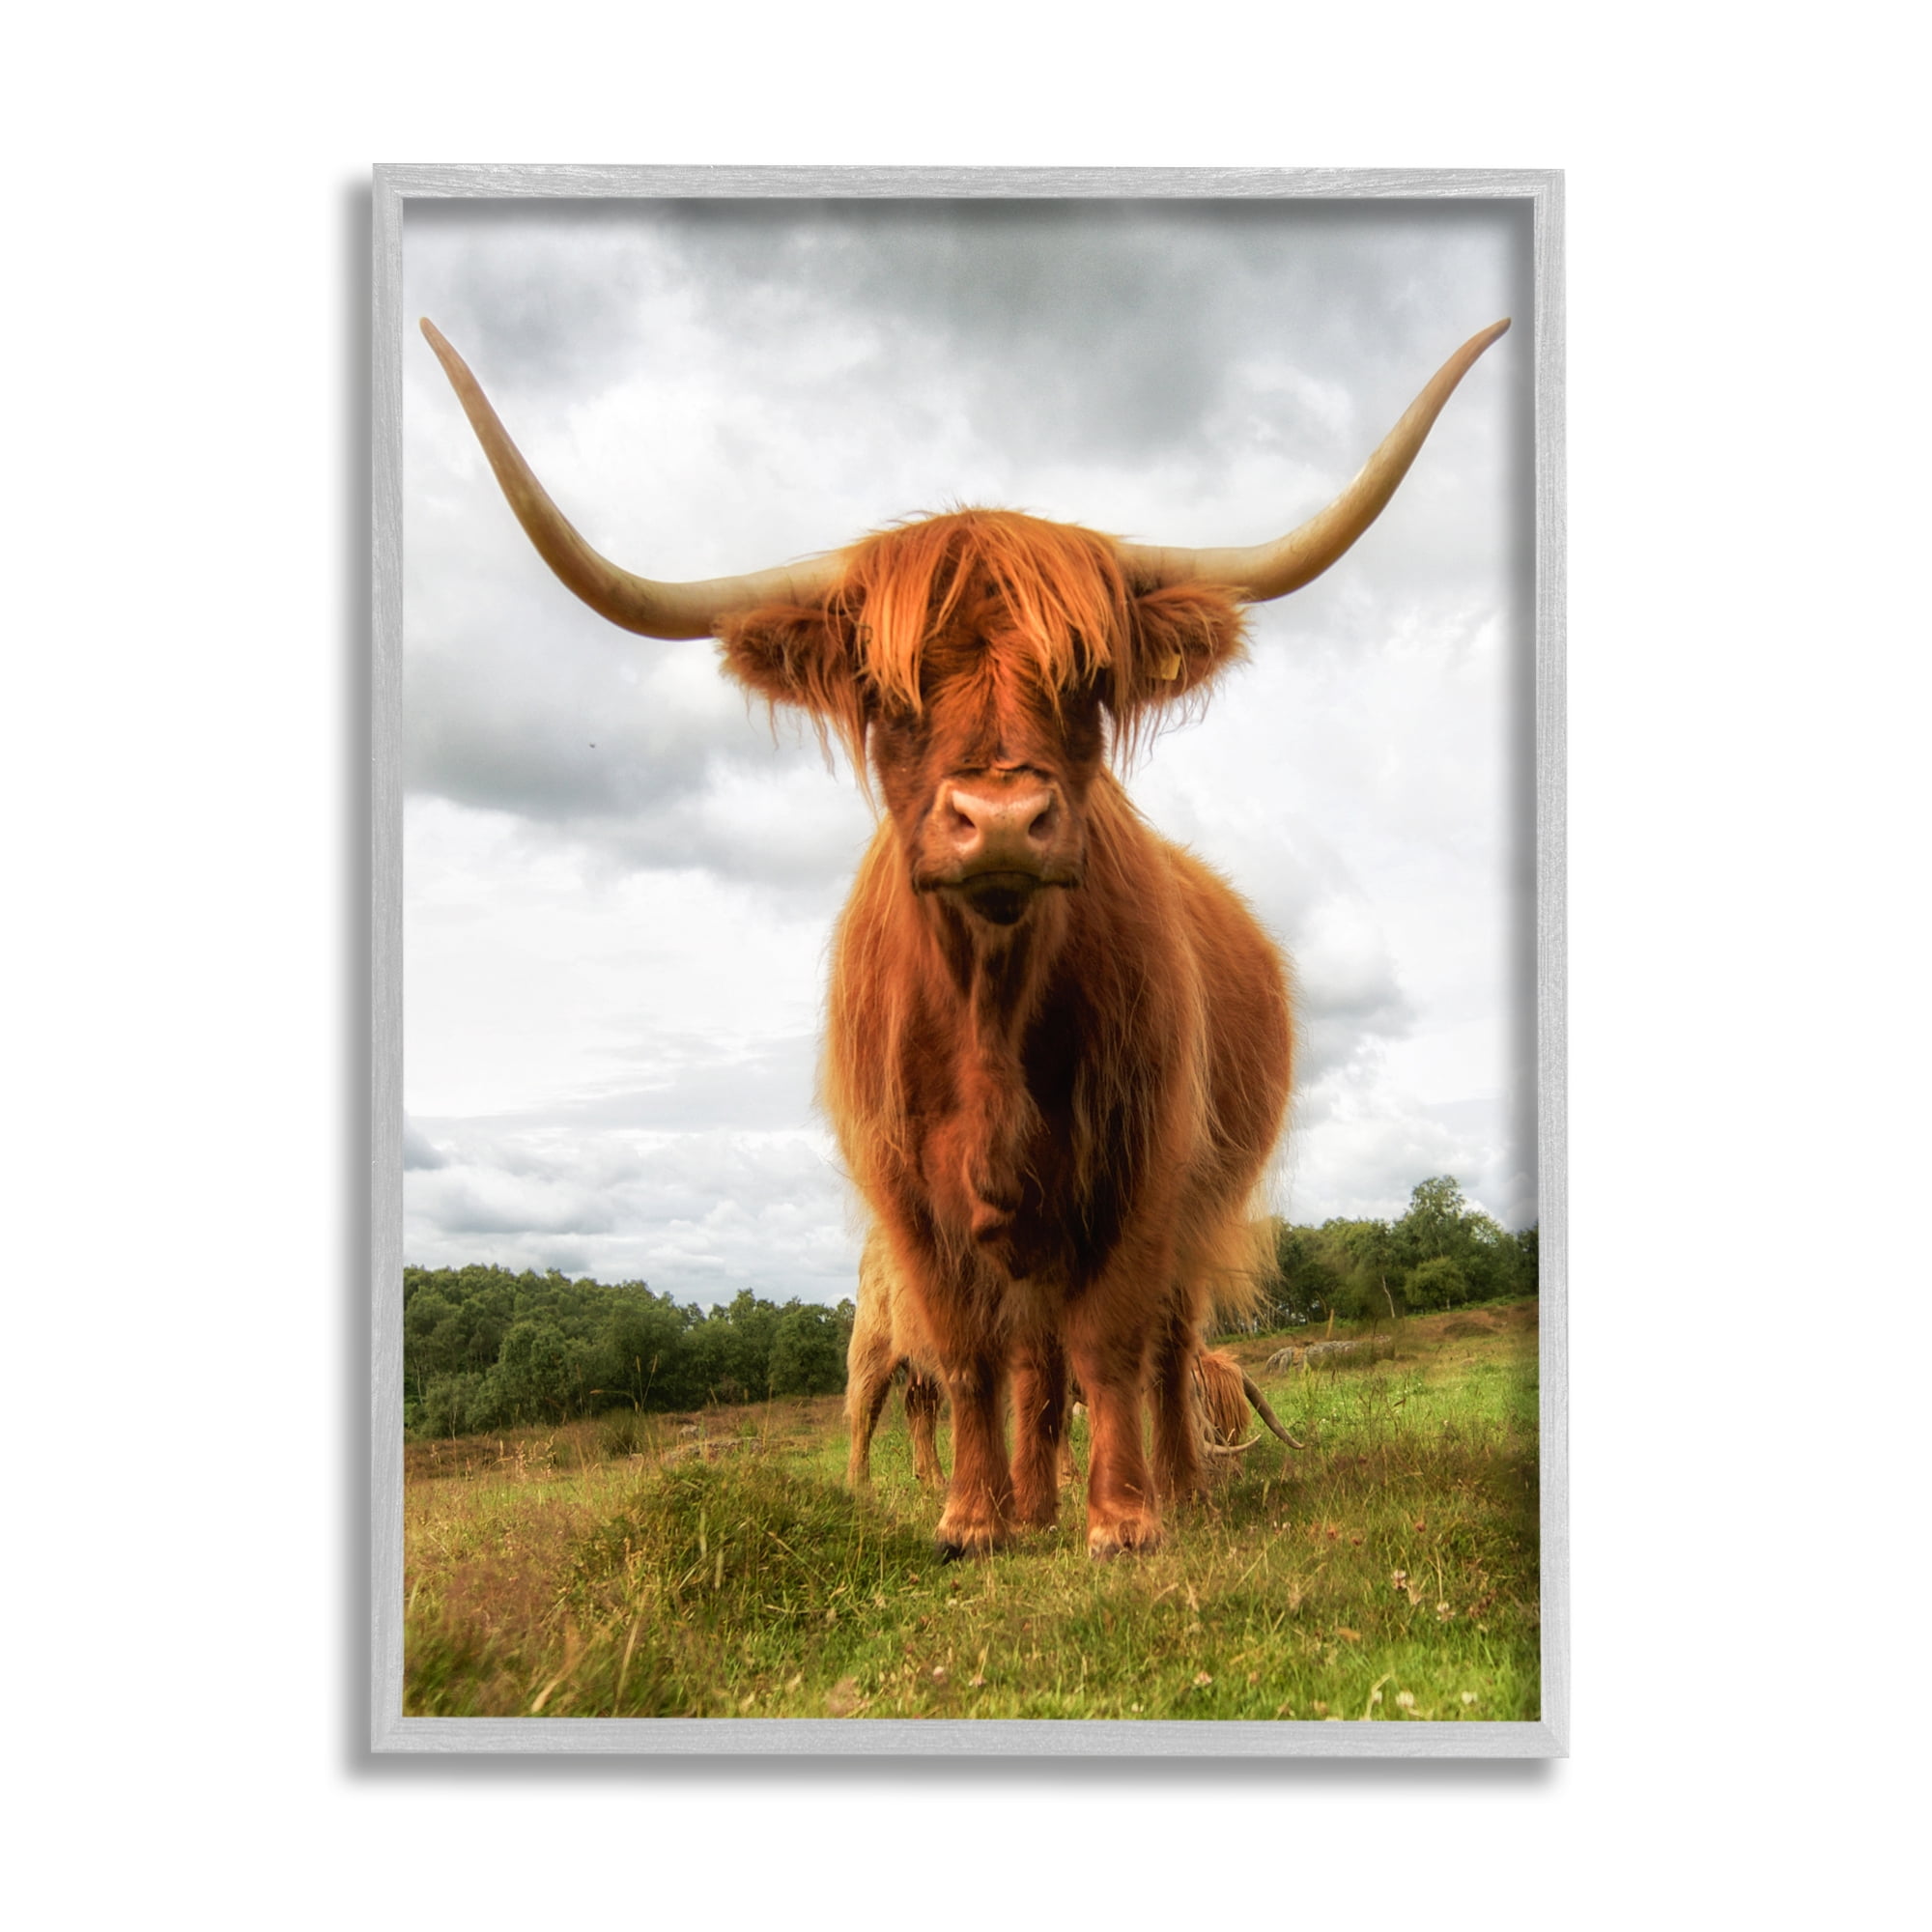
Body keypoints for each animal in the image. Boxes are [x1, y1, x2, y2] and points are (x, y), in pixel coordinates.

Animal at [422, 314, 1507, 1558]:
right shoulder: (905, 1188)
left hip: (1192, 1200)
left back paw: (1178, 1486)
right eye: (887, 690)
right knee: (1017, 1359)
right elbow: (968, 1351)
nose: (997, 818)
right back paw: (1029, 1499)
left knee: (1160, 1341)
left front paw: (1121, 1520)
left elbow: (1110, 1337)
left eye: (1087, 678)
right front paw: (976, 1519)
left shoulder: (1139, 1162)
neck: (990, 1008)